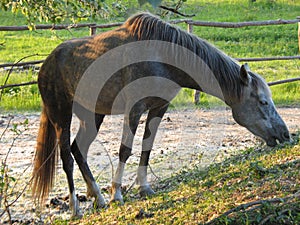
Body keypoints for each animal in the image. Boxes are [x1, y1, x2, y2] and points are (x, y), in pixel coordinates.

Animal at [31, 12, 290, 218]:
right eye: (263, 101)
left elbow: (147, 147)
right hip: (61, 115)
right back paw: (76, 208)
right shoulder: (134, 108)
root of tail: (46, 65)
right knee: (67, 157)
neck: (163, 55)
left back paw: (98, 198)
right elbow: (125, 149)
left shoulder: (158, 108)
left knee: (79, 149)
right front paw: (117, 195)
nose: (285, 134)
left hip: (92, 115)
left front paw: (143, 188)